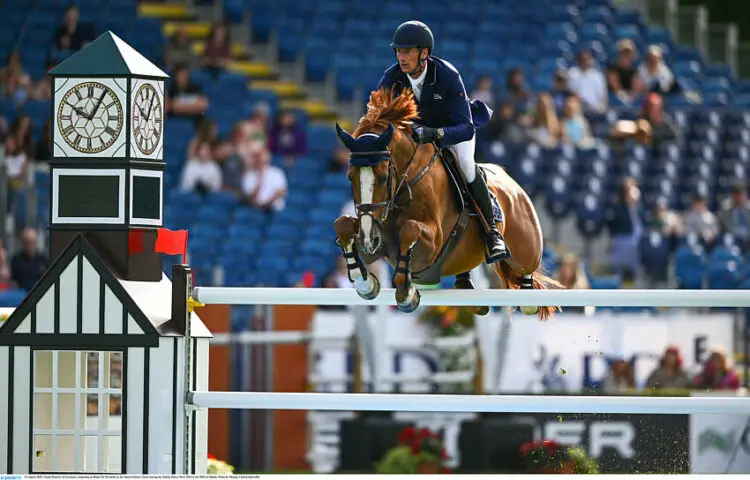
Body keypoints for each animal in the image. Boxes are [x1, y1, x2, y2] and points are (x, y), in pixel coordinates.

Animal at [334, 87, 564, 318]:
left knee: (527, 271)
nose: (368, 239)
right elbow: (343, 224)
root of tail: (513, 184)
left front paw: (407, 294)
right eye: (349, 177)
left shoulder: (433, 244)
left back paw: (522, 287)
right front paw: (365, 283)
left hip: (526, 248)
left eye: (383, 177)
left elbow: (410, 229)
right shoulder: (375, 242)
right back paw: (466, 286)